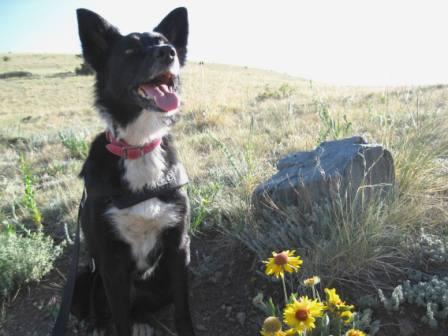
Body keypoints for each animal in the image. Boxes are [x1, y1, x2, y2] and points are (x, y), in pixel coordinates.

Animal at [72, 7, 194, 336]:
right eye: (129, 51)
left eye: (165, 42)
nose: (168, 52)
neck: (139, 147)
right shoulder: (111, 264)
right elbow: (120, 319)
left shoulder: (179, 248)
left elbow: (183, 310)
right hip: (87, 275)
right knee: (100, 309)